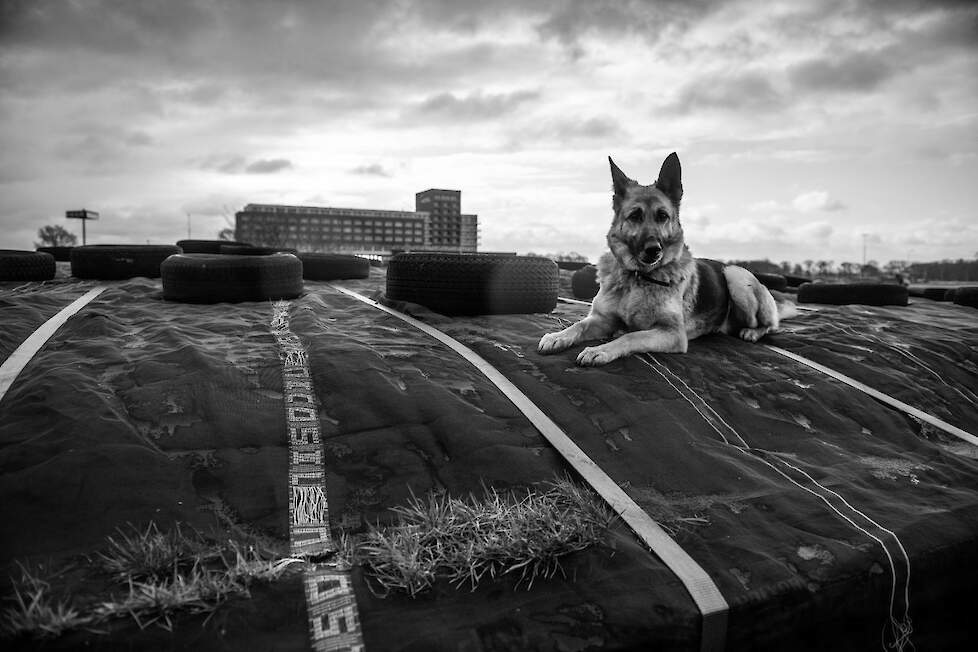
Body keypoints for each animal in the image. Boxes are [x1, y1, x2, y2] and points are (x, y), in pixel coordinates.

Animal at [532, 153, 792, 366]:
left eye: (663, 216)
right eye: (635, 216)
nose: (653, 250)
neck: (638, 277)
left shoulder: (672, 334)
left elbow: (631, 335)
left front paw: (600, 350)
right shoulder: (601, 319)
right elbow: (579, 324)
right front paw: (557, 336)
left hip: (736, 276)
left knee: (771, 325)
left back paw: (752, 332)